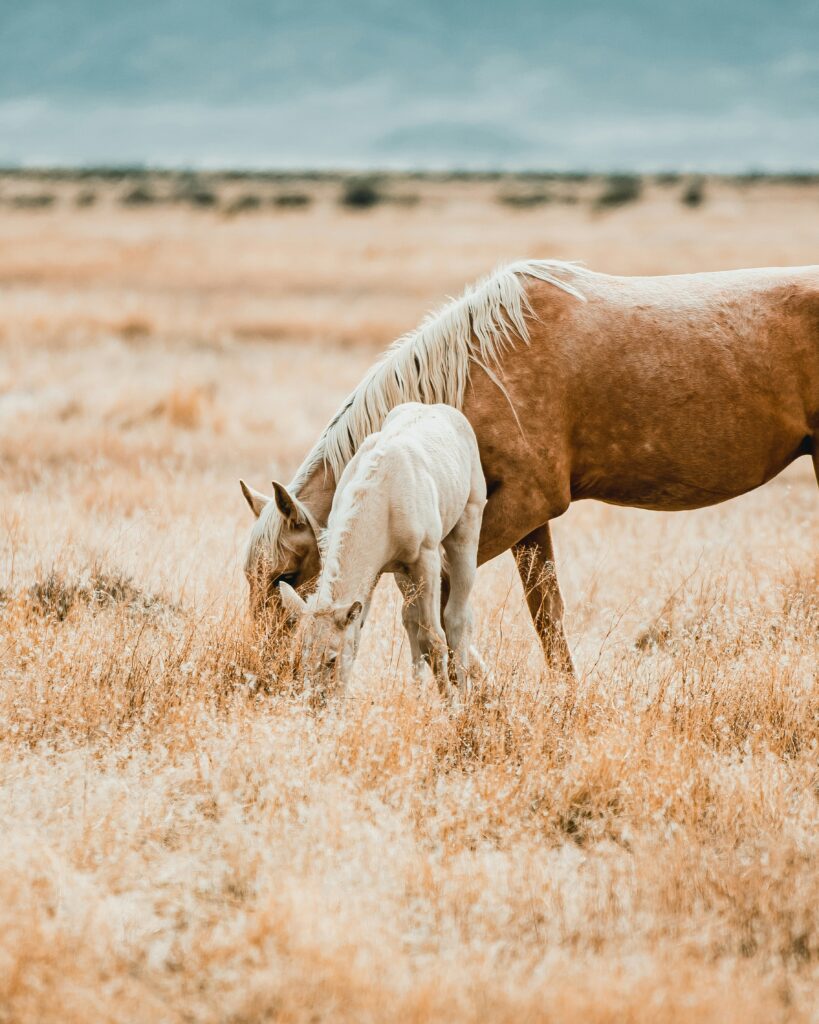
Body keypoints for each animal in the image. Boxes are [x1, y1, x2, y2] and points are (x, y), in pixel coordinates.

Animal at [239, 260, 814, 667]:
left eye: (285, 575)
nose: (260, 668)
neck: (482, 368)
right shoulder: (528, 522)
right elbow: (547, 616)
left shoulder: (520, 507)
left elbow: (440, 603)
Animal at [282, 403, 487, 700]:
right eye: (301, 656)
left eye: (331, 659)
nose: (317, 703)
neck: (384, 493)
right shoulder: (375, 572)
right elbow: (359, 638)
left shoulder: (426, 560)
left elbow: (432, 637)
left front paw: (451, 705)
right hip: (403, 574)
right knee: (410, 619)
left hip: (466, 526)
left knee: (457, 618)